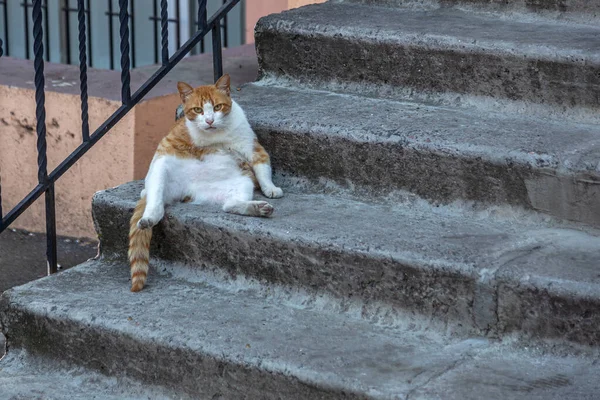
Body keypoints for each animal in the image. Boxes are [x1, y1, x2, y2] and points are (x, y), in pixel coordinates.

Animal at [126, 75, 284, 292]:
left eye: (217, 107)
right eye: (198, 110)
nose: (209, 120)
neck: (217, 137)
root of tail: (187, 187)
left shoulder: (252, 147)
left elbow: (263, 169)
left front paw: (270, 188)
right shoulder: (170, 144)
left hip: (241, 182)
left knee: (230, 205)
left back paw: (259, 208)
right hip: (161, 168)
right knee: (154, 200)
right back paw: (149, 216)